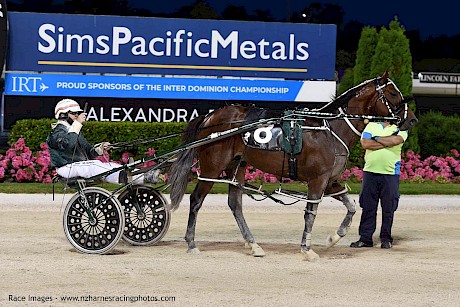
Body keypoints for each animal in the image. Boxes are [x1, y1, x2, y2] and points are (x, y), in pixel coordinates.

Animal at [168, 72, 416, 262]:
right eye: (393, 93)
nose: (412, 119)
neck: (331, 130)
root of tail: (210, 117)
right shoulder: (317, 180)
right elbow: (311, 214)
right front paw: (307, 249)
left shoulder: (330, 181)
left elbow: (352, 207)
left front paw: (334, 237)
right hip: (212, 168)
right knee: (196, 200)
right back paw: (191, 243)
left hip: (237, 166)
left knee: (235, 204)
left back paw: (254, 245)